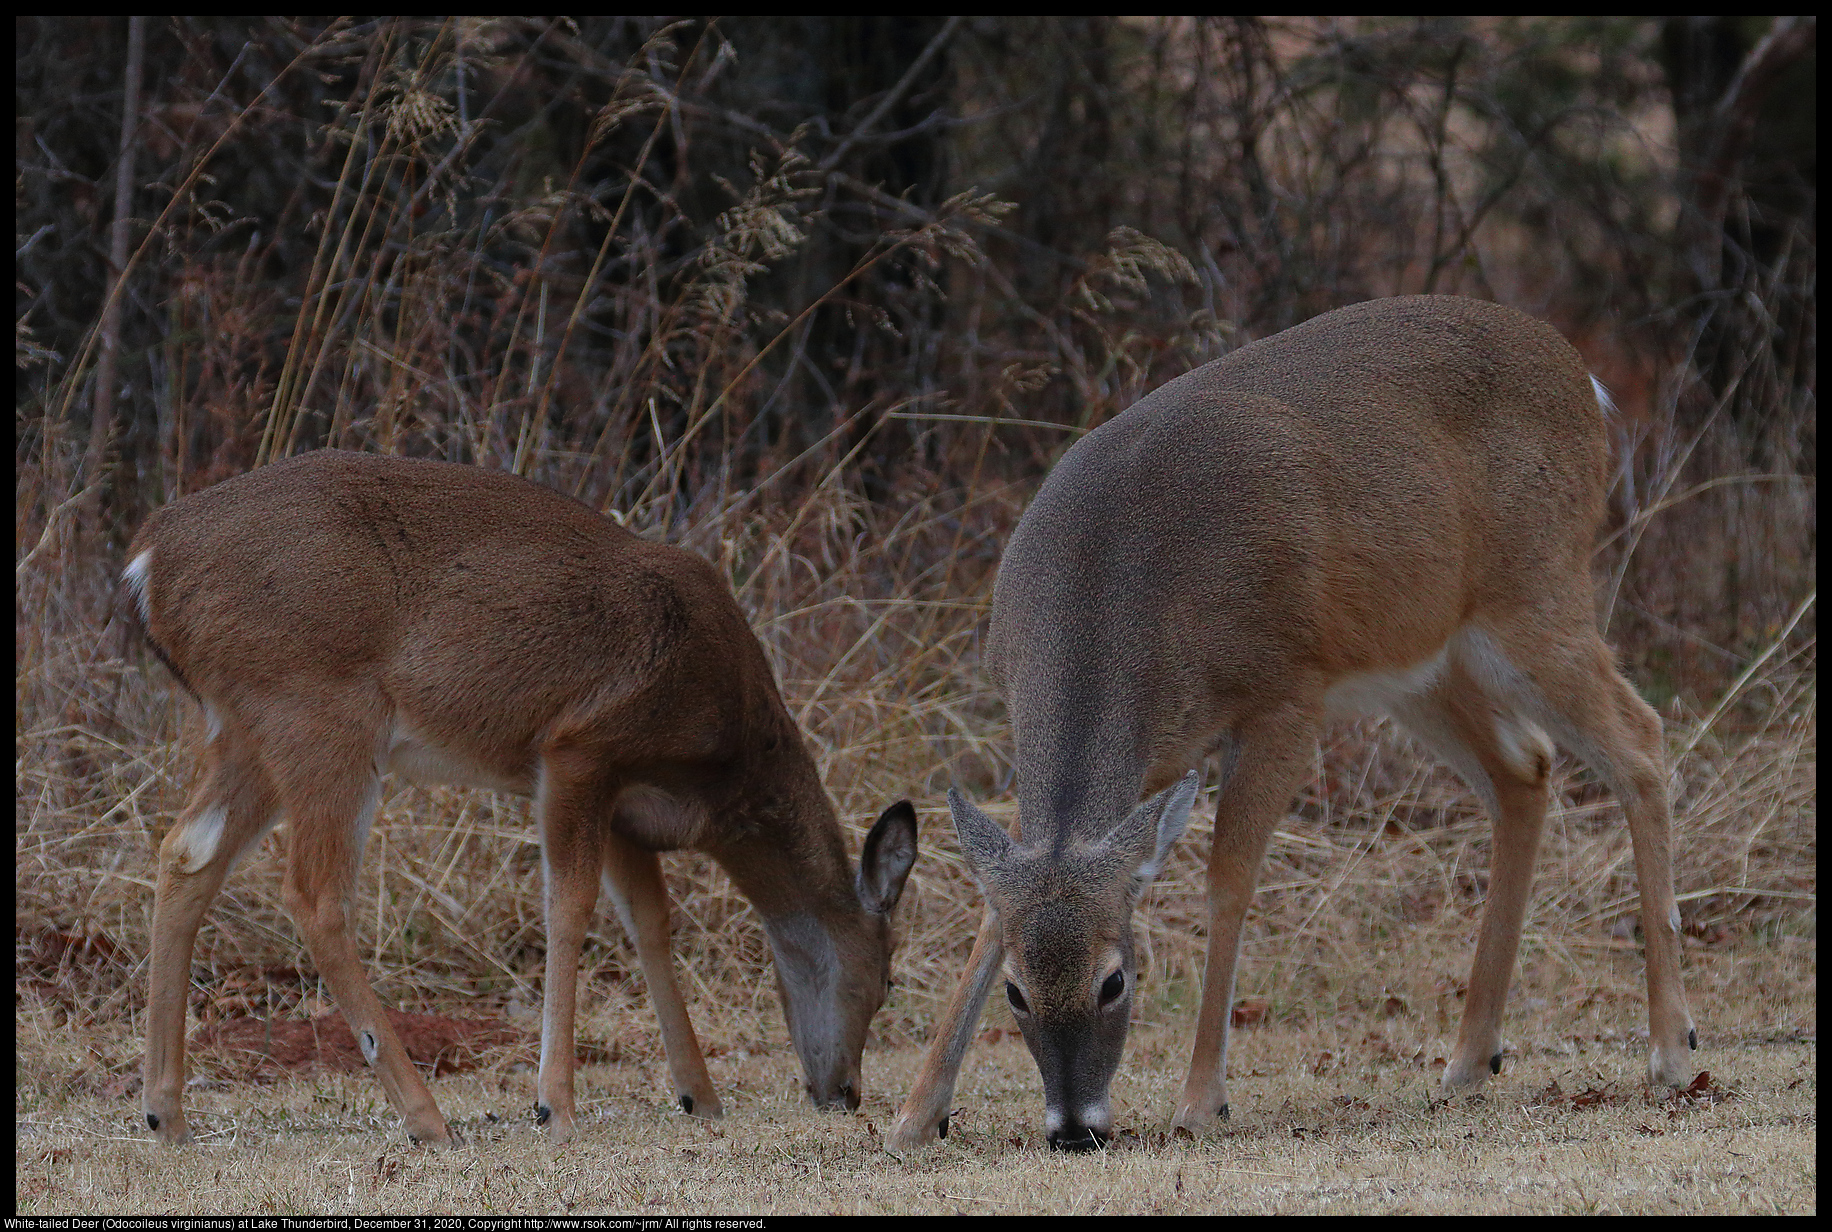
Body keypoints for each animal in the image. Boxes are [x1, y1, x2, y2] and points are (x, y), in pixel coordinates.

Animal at [125, 449, 916, 1144]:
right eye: (885, 981)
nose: (844, 1094)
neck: (727, 758)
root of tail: (148, 560)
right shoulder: (578, 749)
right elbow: (569, 908)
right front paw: (553, 1107)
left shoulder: (626, 803)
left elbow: (650, 923)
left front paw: (701, 1096)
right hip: (319, 712)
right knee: (315, 896)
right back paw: (427, 1119)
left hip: (245, 728)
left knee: (186, 854)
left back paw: (167, 1115)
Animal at [886, 298, 1700, 1158]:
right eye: (1017, 990)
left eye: (1115, 981)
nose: (1075, 1129)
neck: (1114, 598)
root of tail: (1584, 378)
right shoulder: (1153, 754)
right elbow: (993, 906)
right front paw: (915, 1112)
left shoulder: (1284, 696)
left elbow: (1229, 877)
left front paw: (1201, 1100)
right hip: (1423, 661)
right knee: (1525, 769)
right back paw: (1469, 1060)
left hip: (1537, 592)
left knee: (1641, 739)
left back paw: (1671, 1049)